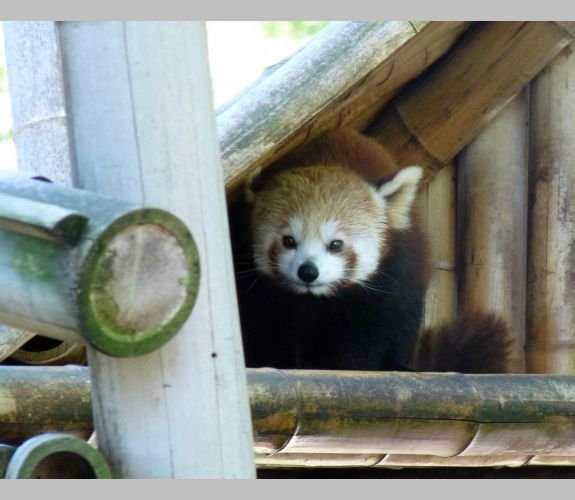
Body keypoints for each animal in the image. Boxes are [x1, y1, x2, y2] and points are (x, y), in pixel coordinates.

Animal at [232, 129, 516, 372]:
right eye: (289, 240)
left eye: (336, 244)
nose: (308, 272)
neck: (319, 296)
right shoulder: (266, 294)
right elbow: (272, 326)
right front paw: (279, 362)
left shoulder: (389, 278)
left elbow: (370, 331)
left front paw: (341, 366)